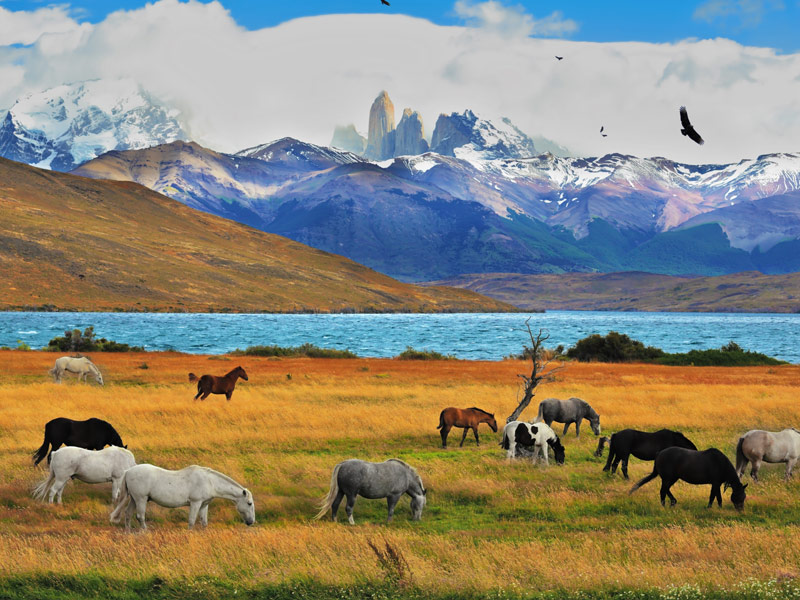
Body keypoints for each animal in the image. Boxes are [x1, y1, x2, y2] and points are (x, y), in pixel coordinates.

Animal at [109, 464, 253, 528]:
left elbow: (204, 522)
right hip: (141, 499)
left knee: (128, 514)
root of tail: (128, 471)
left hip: (134, 499)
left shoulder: (204, 505)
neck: (209, 481)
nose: (251, 522)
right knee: (140, 517)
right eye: (249, 503)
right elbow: (191, 521)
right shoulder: (195, 503)